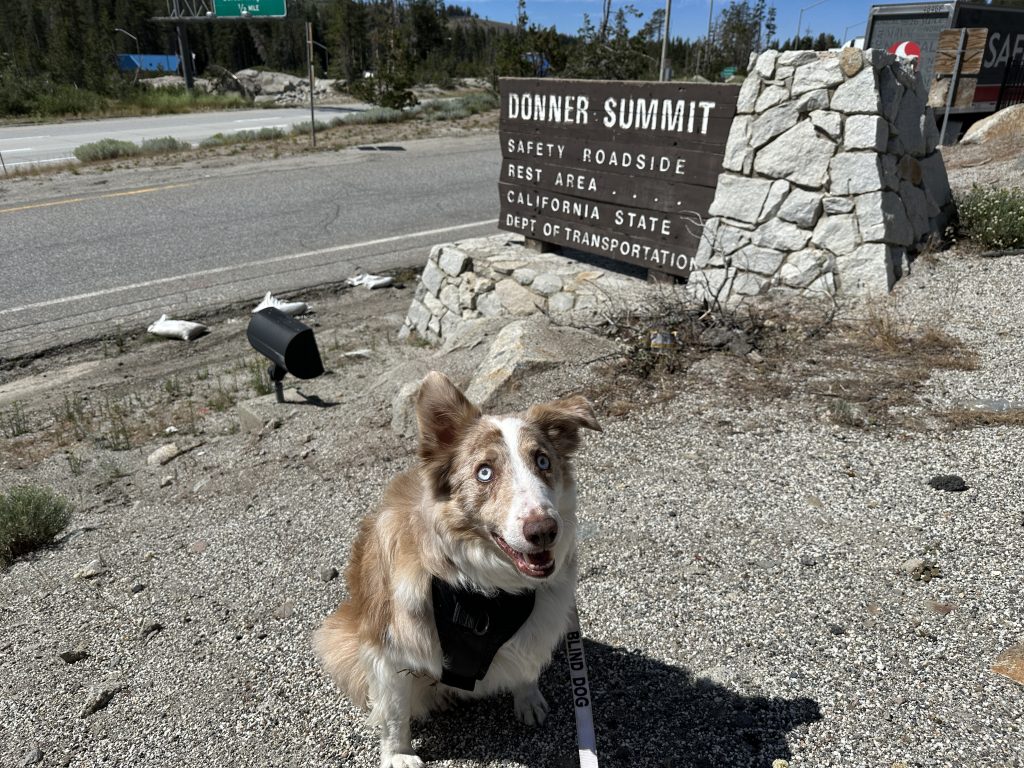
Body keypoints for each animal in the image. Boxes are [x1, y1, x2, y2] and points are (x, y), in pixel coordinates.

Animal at [314, 370, 600, 767]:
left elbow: (527, 666)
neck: (485, 590)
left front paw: (528, 700)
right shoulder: (388, 647)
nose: (544, 530)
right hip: (337, 639)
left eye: (543, 462)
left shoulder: (539, 622)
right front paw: (398, 755)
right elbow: (394, 713)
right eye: (485, 472)